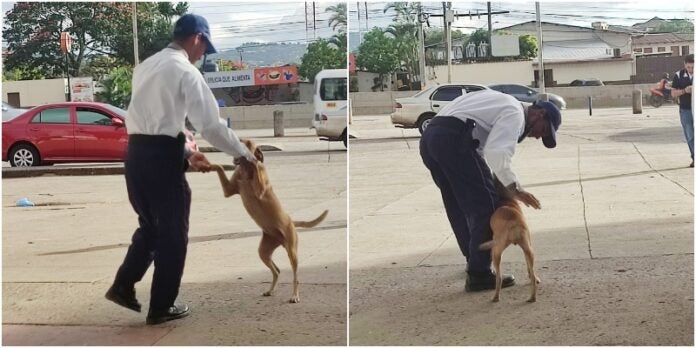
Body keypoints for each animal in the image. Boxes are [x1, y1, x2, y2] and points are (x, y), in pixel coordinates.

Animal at [211, 140, 328, 304]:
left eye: (246, 142)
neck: (246, 171)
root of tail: (292, 222)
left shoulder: (260, 190)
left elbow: (257, 167)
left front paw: (255, 160)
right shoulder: (228, 190)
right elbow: (219, 167)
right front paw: (207, 164)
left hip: (292, 250)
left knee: (295, 277)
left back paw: (294, 295)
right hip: (264, 251)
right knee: (276, 270)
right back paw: (270, 290)